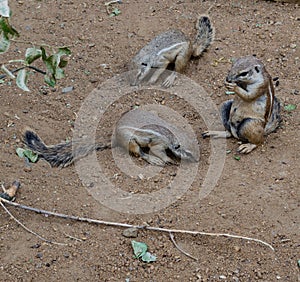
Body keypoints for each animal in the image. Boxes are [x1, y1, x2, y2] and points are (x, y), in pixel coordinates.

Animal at [22, 110, 197, 167]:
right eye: (188, 152)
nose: (197, 160)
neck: (173, 133)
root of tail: (114, 137)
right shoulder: (159, 143)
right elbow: (157, 151)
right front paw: (168, 159)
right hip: (130, 140)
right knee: (138, 152)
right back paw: (152, 160)